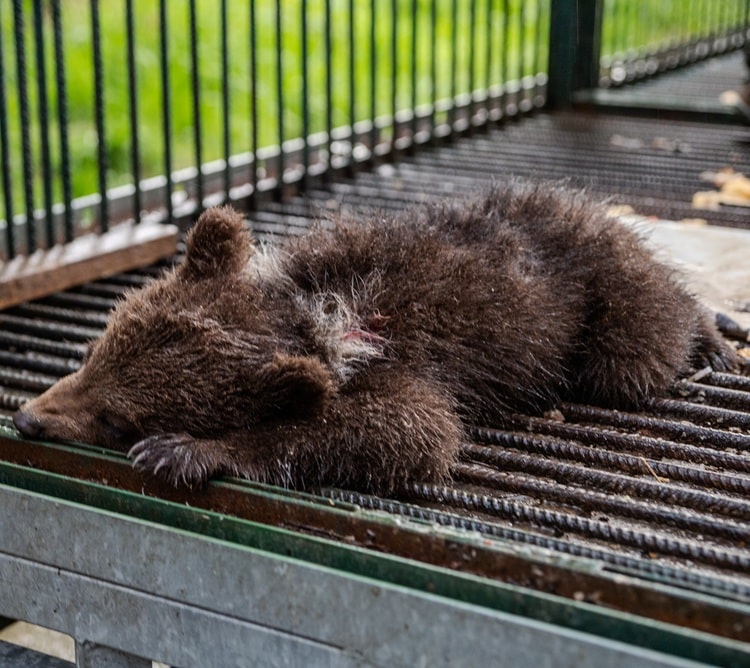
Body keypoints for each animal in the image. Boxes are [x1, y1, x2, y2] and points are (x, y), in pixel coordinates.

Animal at [12, 181, 739, 494]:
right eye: (91, 354)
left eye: (119, 418)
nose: (25, 417)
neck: (312, 311)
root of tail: (615, 223)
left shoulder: (403, 366)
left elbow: (415, 430)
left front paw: (192, 450)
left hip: (608, 298)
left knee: (635, 356)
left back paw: (709, 333)